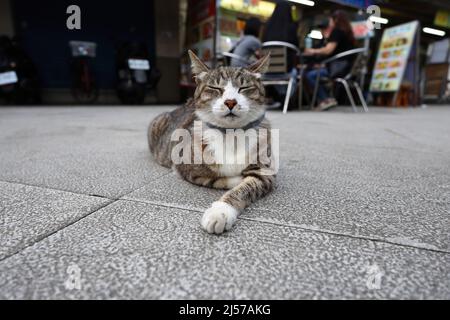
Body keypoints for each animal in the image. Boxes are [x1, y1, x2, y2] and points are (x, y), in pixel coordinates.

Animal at [149, 50, 274, 235]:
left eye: (244, 88)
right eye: (215, 88)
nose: (231, 101)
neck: (231, 133)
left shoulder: (264, 172)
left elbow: (245, 188)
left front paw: (221, 211)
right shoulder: (185, 167)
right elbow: (216, 178)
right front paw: (235, 181)